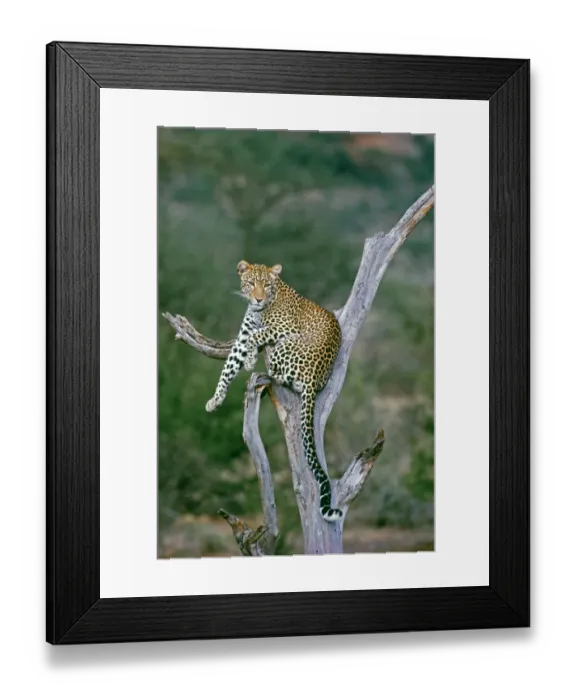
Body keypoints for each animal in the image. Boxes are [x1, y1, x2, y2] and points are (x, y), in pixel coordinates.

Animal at [205, 260, 344, 521]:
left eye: (267, 285)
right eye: (251, 283)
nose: (258, 299)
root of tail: (314, 381)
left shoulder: (283, 327)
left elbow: (257, 335)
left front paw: (250, 360)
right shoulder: (242, 336)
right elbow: (229, 366)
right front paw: (215, 400)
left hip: (286, 343)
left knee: (279, 374)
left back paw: (261, 373)